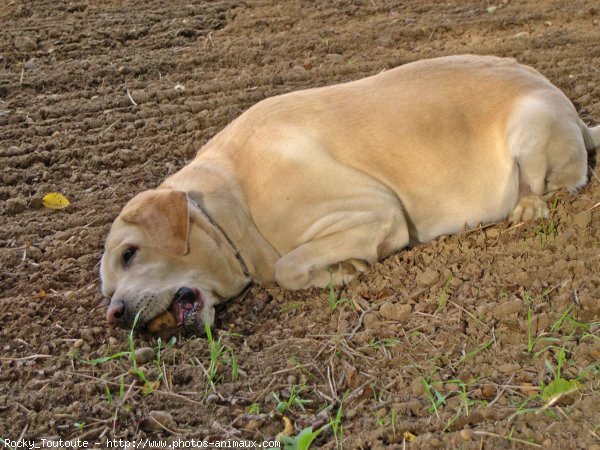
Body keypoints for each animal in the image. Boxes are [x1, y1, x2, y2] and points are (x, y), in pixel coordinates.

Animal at [101, 54, 596, 334]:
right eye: (107, 288)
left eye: (130, 253)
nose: (115, 315)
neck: (231, 205)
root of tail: (577, 117)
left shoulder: (376, 212)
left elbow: (286, 267)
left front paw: (344, 271)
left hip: (531, 121)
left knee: (549, 185)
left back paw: (525, 206)